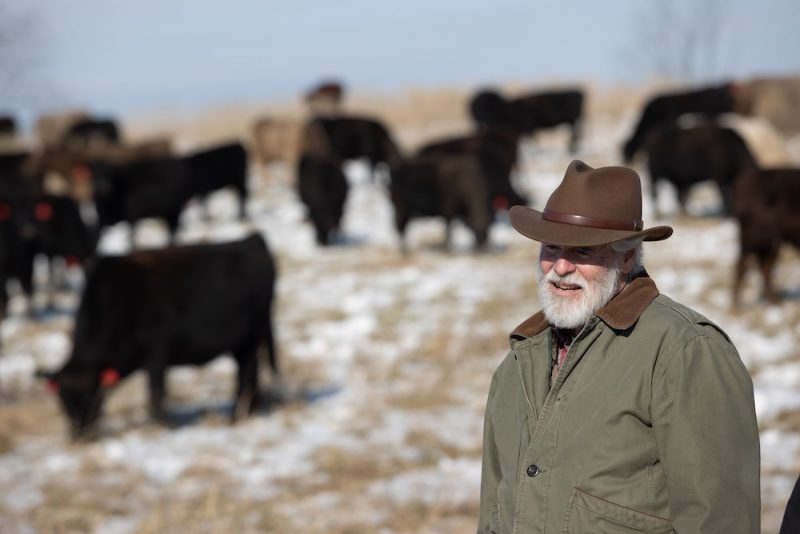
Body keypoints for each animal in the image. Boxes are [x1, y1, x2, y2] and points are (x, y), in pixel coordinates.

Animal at [36, 233, 278, 439]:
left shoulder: (156, 353)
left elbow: (155, 394)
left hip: (252, 337)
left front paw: (167, 425)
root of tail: (253, 239)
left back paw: (236, 416)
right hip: (241, 344)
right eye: (63, 400)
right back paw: (250, 411)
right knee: (251, 374)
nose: (79, 434)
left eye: (90, 395)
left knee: (246, 375)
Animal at [732, 167, 800, 308]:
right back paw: (738, 305)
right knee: (743, 265)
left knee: (764, 267)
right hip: (755, 240)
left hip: (771, 243)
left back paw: (774, 301)